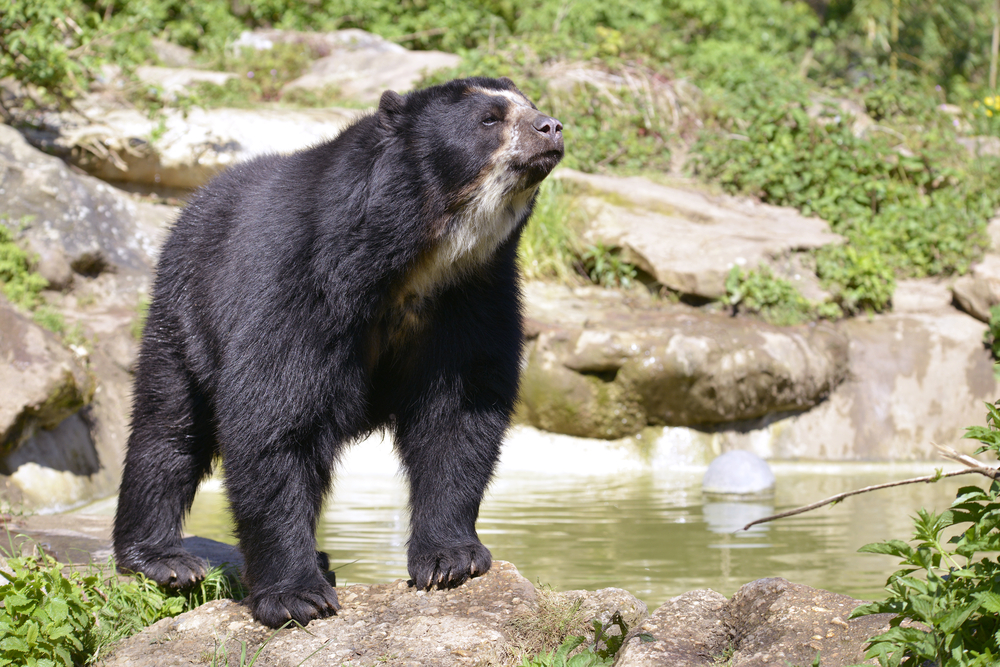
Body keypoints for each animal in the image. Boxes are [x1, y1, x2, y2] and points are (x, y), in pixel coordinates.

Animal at [114, 77, 568, 628]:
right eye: (489, 118)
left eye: (531, 106)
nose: (551, 127)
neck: (418, 254)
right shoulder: (300, 278)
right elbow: (273, 418)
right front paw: (297, 596)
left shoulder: (474, 296)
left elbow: (459, 413)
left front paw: (450, 560)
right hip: (186, 307)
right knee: (169, 426)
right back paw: (163, 558)